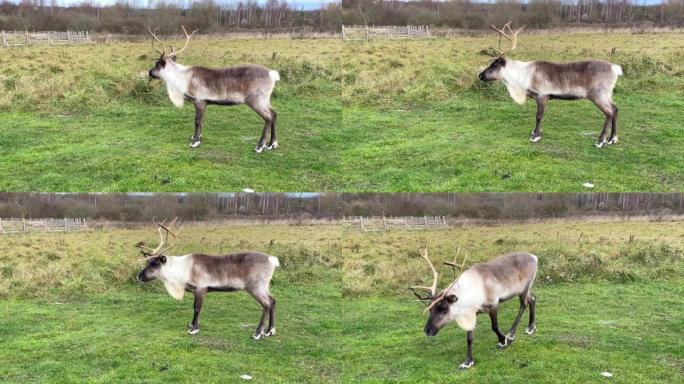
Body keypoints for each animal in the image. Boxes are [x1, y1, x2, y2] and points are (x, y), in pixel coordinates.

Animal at [136, 219, 278, 340]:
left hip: (255, 286)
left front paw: (193, 329)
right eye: (148, 261)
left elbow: (196, 308)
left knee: (266, 304)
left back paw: (258, 333)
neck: (181, 270)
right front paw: (192, 325)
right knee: (273, 300)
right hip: (264, 286)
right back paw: (270, 330)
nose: (138, 277)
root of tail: (272, 260)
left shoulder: (201, 288)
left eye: (155, 263)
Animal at [147, 27, 280, 152]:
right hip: (265, 100)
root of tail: (272, 74)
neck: (181, 78)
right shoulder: (205, 102)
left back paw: (260, 146)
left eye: (157, 64)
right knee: (274, 113)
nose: (149, 72)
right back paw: (272, 144)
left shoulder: (199, 100)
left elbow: (197, 120)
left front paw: (195, 142)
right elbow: (202, 120)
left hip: (255, 100)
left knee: (268, 117)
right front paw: (198, 137)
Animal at [408, 244, 536, 370]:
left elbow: (494, 326)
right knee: (532, 299)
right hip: (525, 290)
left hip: (523, 288)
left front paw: (503, 340)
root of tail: (534, 257)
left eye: (443, 309)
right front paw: (468, 362)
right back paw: (530, 327)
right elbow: (469, 338)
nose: (427, 331)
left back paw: (511, 333)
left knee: (523, 304)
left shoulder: (493, 304)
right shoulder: (471, 313)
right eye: (430, 309)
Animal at [478, 22, 624, 147]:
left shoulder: (542, 95)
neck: (521, 76)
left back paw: (601, 141)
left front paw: (535, 136)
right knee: (615, 109)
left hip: (598, 95)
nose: (480, 75)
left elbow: (538, 116)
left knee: (609, 112)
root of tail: (615, 68)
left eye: (494, 64)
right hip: (607, 94)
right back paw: (612, 138)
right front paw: (535, 132)